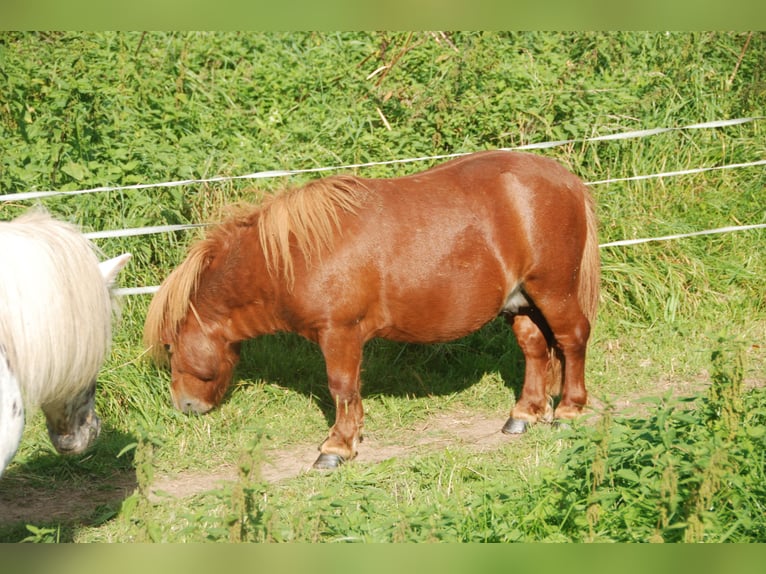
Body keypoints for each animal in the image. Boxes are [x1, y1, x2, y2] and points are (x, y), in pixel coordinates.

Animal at [144, 150, 600, 470]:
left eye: (169, 346)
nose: (184, 406)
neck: (293, 256)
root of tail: (567, 181)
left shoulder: (339, 333)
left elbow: (342, 389)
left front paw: (337, 448)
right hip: (520, 302)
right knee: (535, 349)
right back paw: (525, 413)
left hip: (553, 291)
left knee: (572, 338)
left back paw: (570, 409)